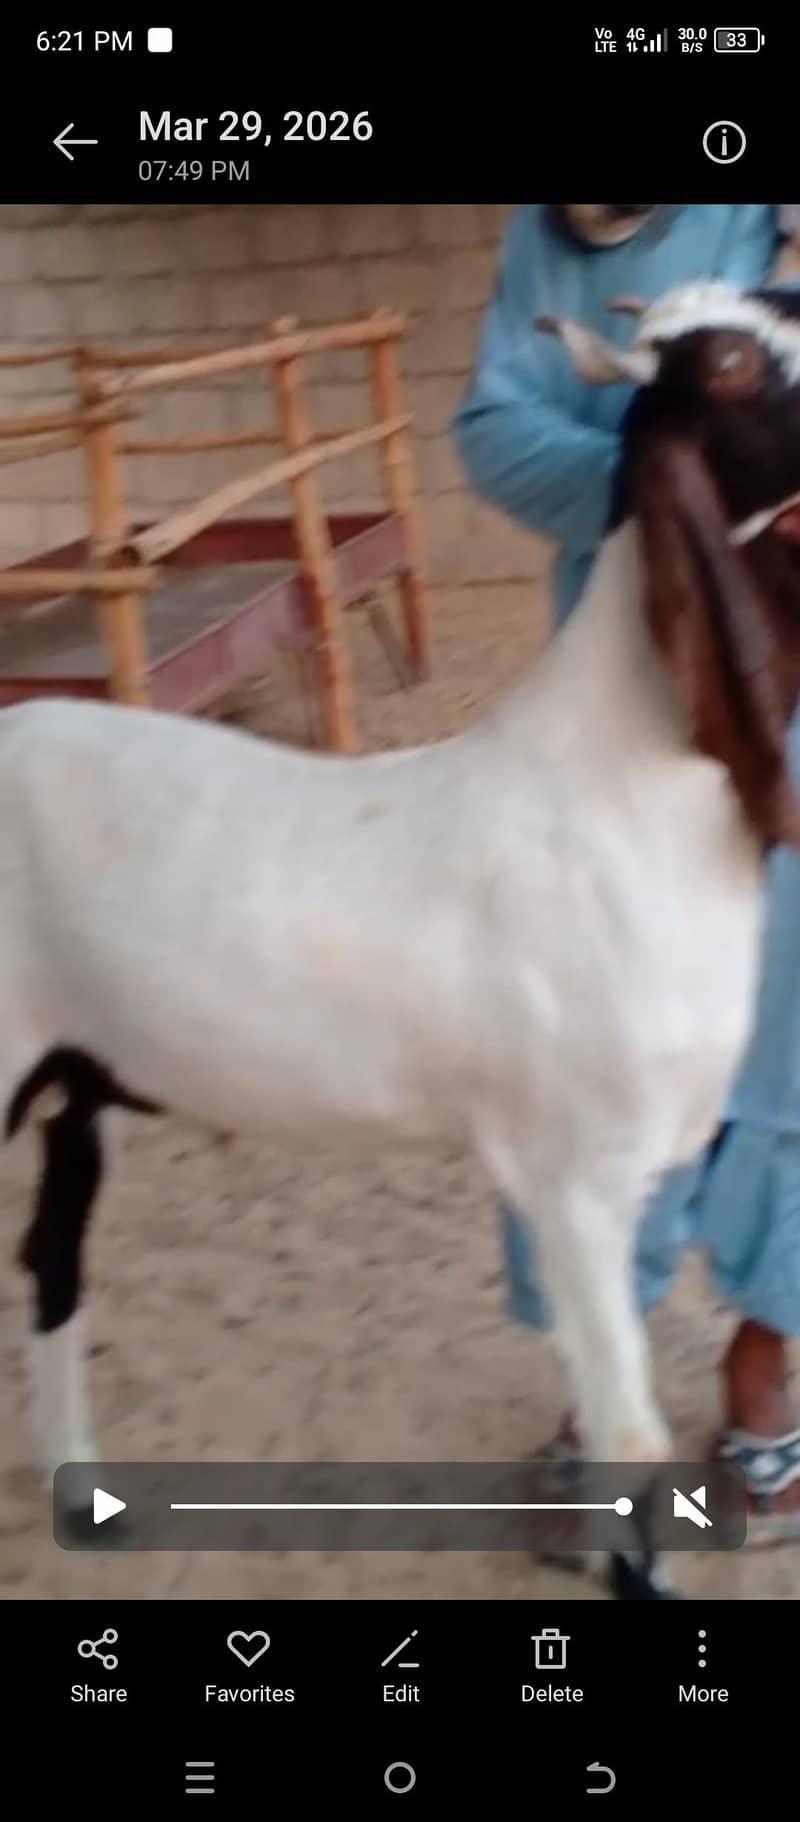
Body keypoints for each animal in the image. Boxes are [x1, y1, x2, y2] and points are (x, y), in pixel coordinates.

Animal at [3, 280, 800, 1592]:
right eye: (731, 365)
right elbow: (627, 1437)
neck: (617, 791)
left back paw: (86, 1498)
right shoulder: (568, 1175)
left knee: (53, 1260)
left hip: (81, 1079)